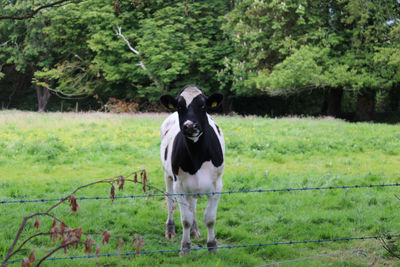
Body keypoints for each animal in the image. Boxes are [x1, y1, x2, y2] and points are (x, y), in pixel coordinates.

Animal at [160, 85, 225, 254]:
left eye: (203, 106)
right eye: (179, 106)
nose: (190, 126)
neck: (197, 157)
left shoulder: (217, 186)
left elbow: (210, 219)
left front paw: (212, 246)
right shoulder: (180, 186)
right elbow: (185, 220)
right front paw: (185, 248)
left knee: (193, 205)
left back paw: (195, 230)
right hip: (168, 175)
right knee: (170, 199)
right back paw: (170, 230)